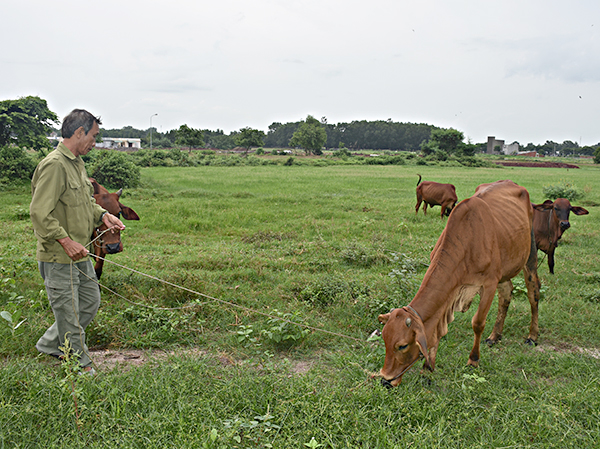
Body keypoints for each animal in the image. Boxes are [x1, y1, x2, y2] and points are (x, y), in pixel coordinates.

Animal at [380, 180, 544, 386]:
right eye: (384, 339)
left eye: (402, 346)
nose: (385, 380)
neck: (467, 242)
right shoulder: (450, 291)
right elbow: (438, 329)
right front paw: (427, 368)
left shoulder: (489, 284)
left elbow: (478, 323)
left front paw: (473, 360)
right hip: (505, 269)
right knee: (506, 294)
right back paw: (495, 336)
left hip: (530, 254)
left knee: (533, 293)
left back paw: (532, 335)